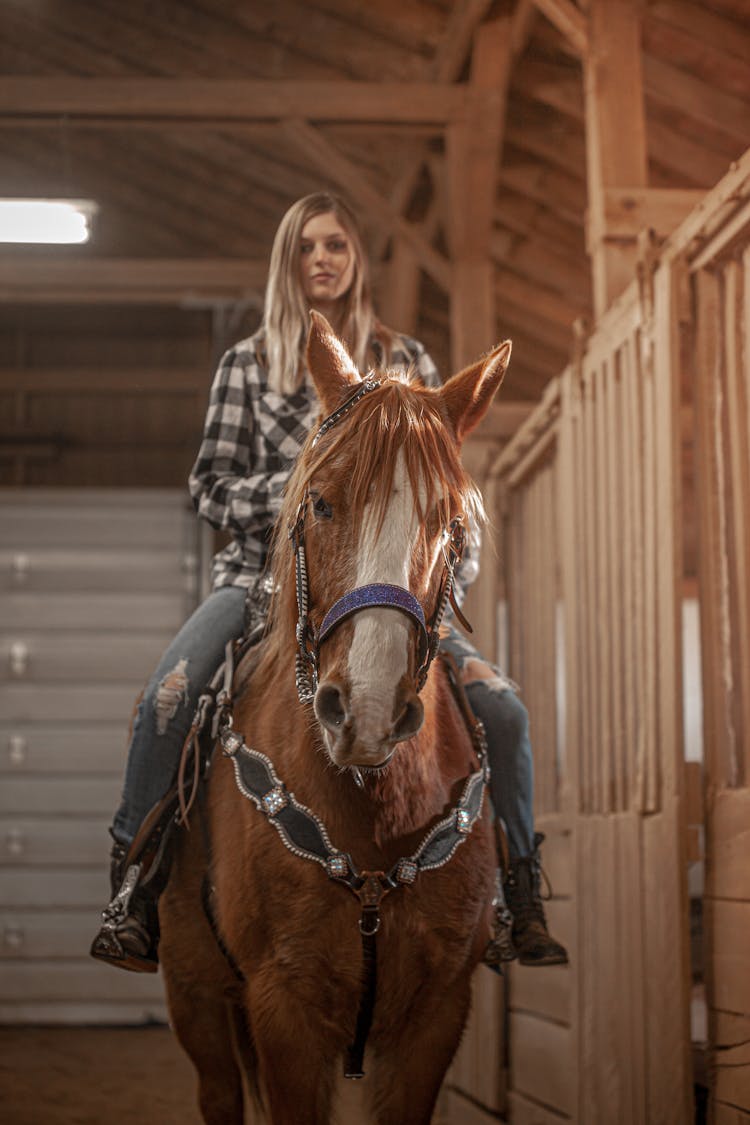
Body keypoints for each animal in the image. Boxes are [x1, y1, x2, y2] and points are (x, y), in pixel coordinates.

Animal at [161, 310, 512, 1125]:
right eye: (319, 502)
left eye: (453, 523)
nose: (369, 709)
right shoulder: (282, 1012)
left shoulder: (435, 1016)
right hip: (194, 998)